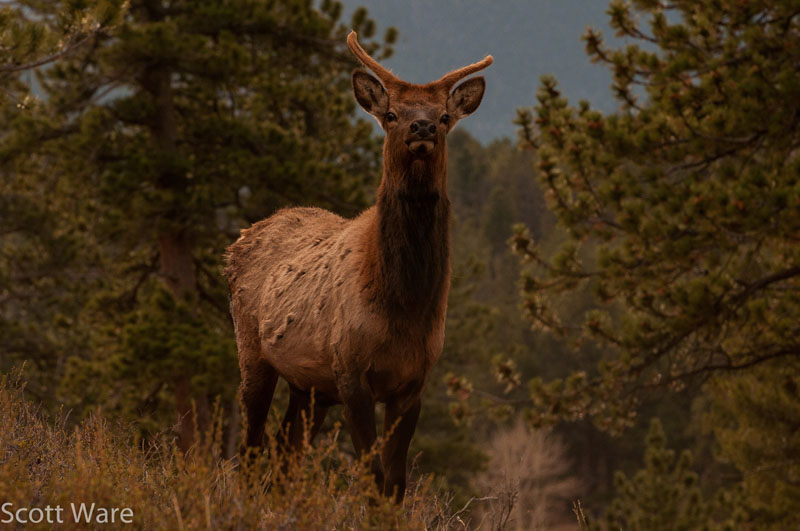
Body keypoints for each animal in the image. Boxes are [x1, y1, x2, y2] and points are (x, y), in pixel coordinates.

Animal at [224, 31, 492, 502]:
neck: (403, 306)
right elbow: (374, 477)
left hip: (308, 387)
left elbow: (397, 482)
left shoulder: (413, 382)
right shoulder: (350, 371)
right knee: (252, 446)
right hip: (252, 350)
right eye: (391, 114)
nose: (422, 127)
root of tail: (238, 240)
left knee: (286, 452)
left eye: (444, 116)